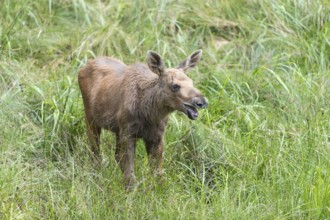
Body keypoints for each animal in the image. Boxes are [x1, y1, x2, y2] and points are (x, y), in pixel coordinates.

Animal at [78, 50, 206, 189]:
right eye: (175, 86)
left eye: (192, 82)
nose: (202, 101)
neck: (150, 114)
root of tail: (84, 66)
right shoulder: (128, 132)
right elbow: (129, 165)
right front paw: (130, 188)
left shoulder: (157, 135)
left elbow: (156, 170)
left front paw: (159, 187)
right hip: (90, 118)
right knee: (95, 152)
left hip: (117, 129)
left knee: (116, 155)